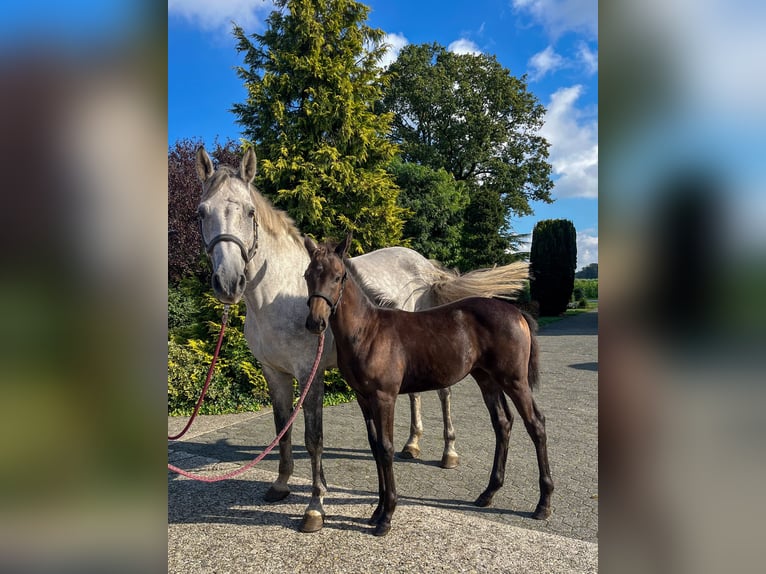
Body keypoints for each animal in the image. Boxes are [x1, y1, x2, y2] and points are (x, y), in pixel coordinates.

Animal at [304, 235, 556, 540]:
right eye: (307, 275)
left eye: (338, 276)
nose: (315, 323)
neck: (369, 331)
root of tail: (517, 311)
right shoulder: (364, 398)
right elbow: (375, 448)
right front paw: (376, 510)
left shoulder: (384, 397)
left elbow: (386, 448)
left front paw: (386, 516)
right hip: (487, 379)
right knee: (503, 423)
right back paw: (488, 493)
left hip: (515, 381)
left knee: (536, 424)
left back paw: (543, 503)